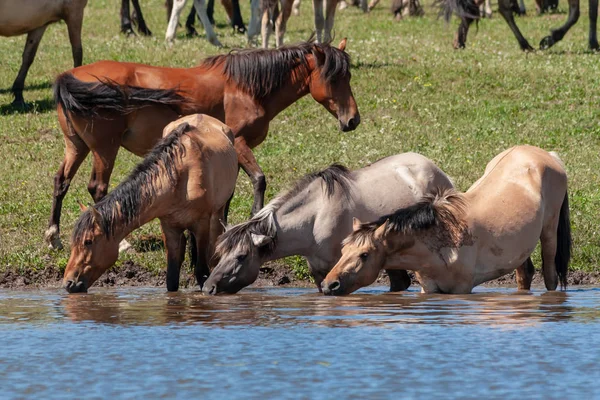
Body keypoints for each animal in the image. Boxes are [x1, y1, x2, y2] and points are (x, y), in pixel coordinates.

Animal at [47, 38, 358, 250]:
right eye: (334, 78)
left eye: (349, 76)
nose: (353, 120)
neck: (245, 87)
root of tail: (68, 78)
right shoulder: (240, 142)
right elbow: (259, 180)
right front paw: (255, 221)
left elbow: (228, 192)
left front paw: (222, 227)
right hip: (104, 149)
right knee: (97, 188)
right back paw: (121, 243)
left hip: (77, 147)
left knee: (61, 181)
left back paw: (54, 237)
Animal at [62, 115, 237, 294]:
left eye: (88, 241)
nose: (68, 283)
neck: (180, 177)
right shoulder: (169, 228)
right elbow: (172, 279)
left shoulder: (201, 225)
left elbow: (202, 272)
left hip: (218, 213)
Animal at [202, 152, 454, 294]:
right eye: (220, 253)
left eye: (241, 256)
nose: (207, 288)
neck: (315, 217)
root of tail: (438, 171)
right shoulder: (318, 271)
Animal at [324, 145, 572, 296]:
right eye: (343, 250)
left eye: (364, 255)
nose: (329, 284)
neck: (442, 239)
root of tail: (548, 156)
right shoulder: (429, 289)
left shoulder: (461, 289)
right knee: (524, 275)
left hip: (549, 231)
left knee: (550, 276)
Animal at [438, 0, 596, 50]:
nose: (550, 7)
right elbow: (575, 14)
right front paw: (549, 40)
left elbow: (592, 13)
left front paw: (594, 44)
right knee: (504, 9)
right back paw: (524, 45)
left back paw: (459, 40)